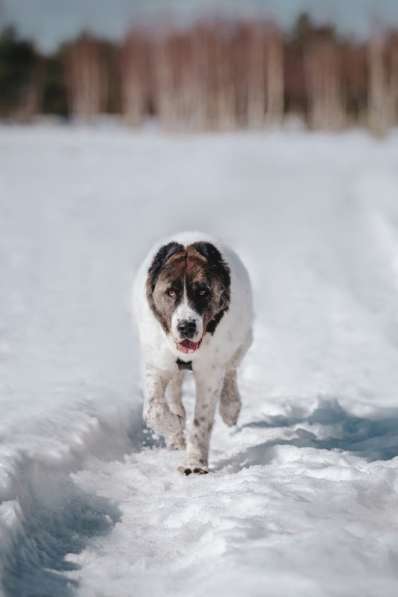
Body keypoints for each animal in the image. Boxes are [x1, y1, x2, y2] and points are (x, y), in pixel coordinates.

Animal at [133, 230, 252, 472]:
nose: (186, 326)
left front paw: (195, 464)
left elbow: (201, 420)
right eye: (170, 292)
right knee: (174, 390)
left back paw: (230, 408)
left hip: (242, 341)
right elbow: (153, 409)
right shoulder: (156, 364)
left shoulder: (210, 372)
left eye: (203, 291)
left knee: (231, 370)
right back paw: (177, 432)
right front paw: (175, 425)